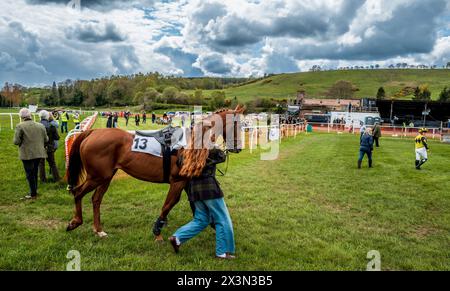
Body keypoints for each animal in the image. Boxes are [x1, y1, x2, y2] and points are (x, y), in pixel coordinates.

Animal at [65, 106, 244, 241]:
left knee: (96, 199)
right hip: (97, 176)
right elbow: (169, 204)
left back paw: (98, 229)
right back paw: (75, 222)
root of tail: (93, 132)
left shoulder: (186, 182)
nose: (239, 148)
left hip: (106, 177)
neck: (191, 144)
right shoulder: (178, 181)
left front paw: (213, 225)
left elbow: (194, 205)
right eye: (237, 125)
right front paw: (158, 230)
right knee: (78, 192)